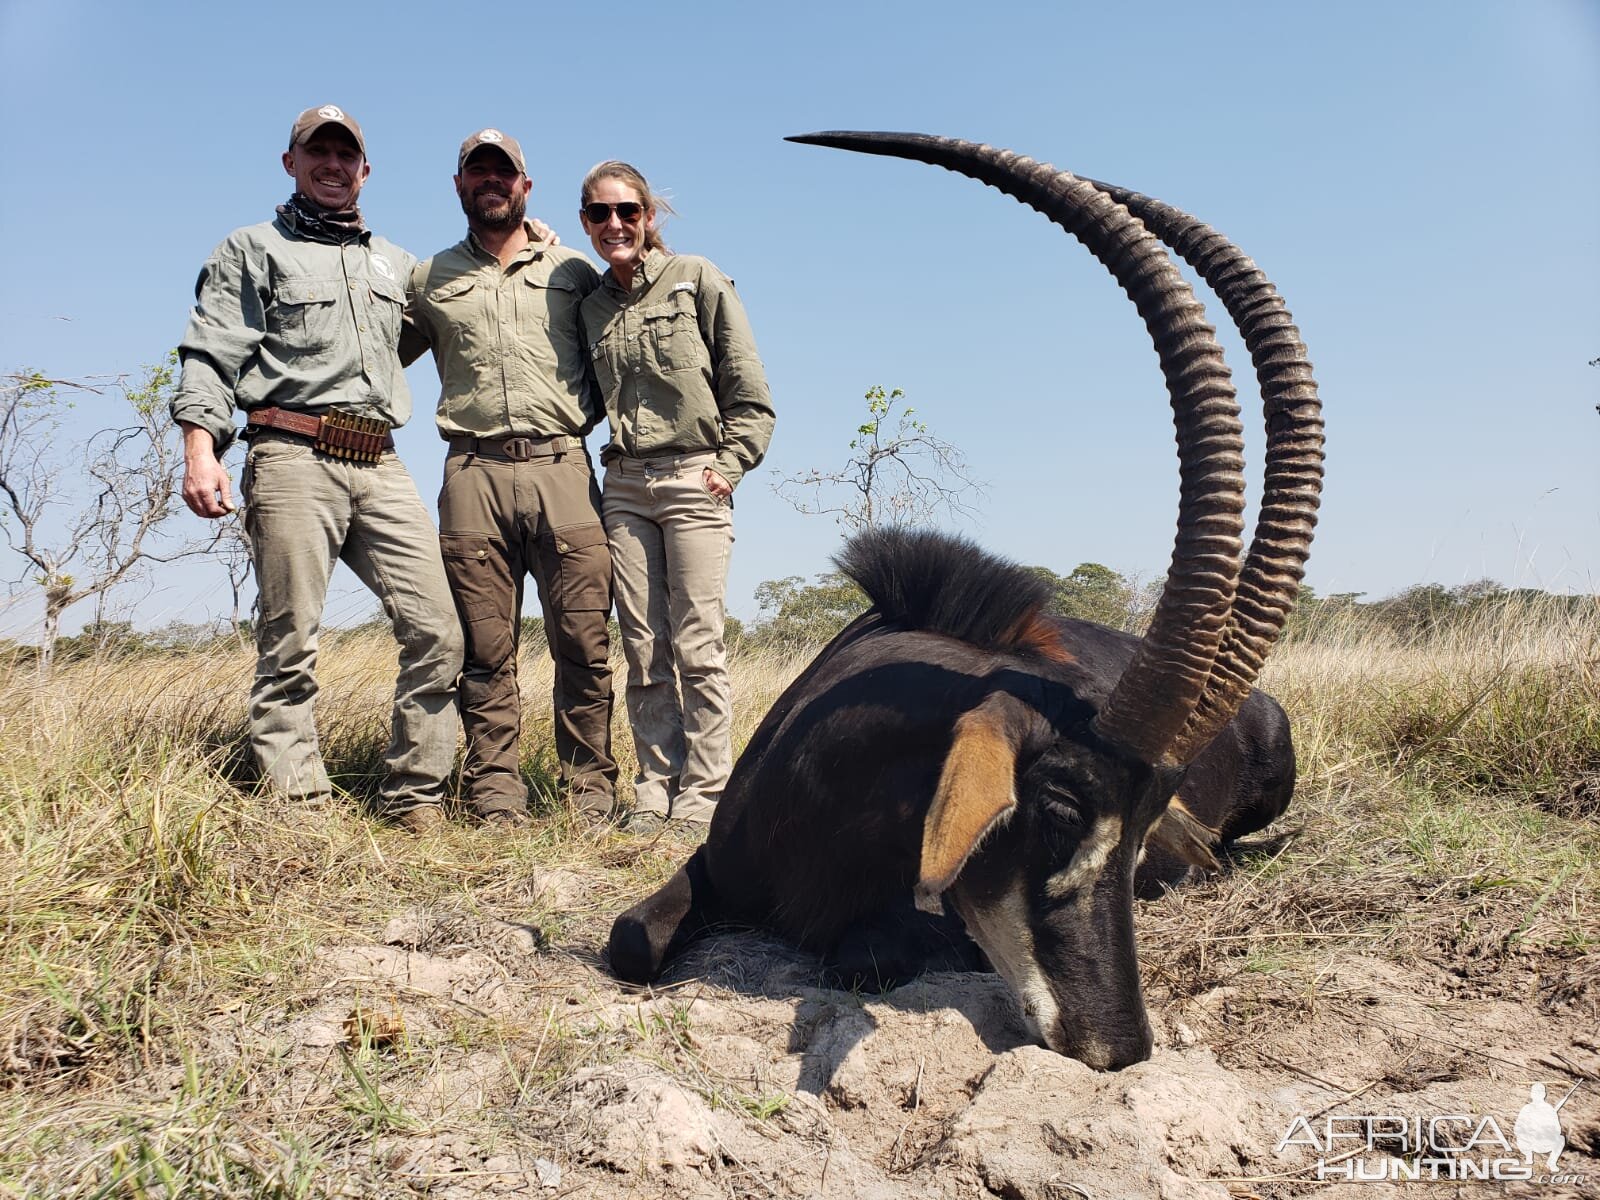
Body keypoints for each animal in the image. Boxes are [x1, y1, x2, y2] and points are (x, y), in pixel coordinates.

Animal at [604, 131, 1318, 1068]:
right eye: (1059, 805)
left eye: (1146, 821)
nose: (1121, 1046)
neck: (826, 791)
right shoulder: (717, 867)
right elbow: (631, 940)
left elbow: (862, 951)